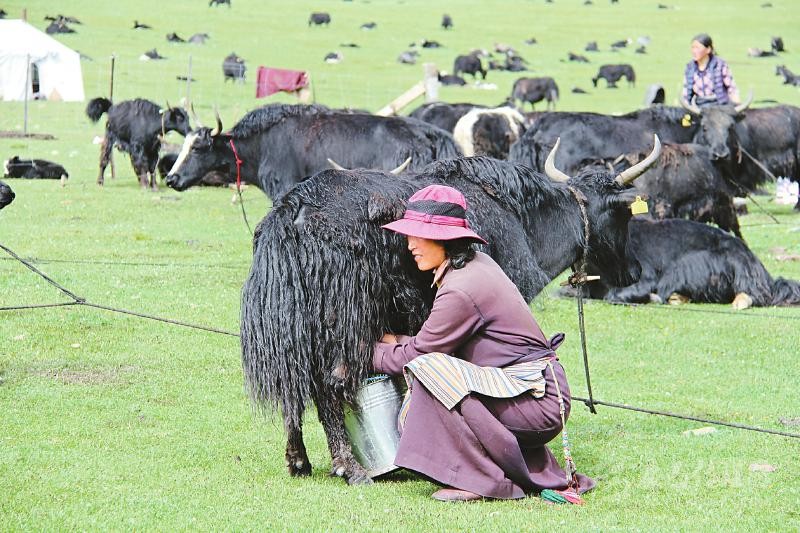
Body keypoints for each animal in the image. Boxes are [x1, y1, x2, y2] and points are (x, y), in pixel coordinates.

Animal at [240, 138, 660, 485]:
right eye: (625, 216)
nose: (635, 271)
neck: (520, 219)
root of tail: (292, 210)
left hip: (296, 322)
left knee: (295, 380)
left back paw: (298, 460)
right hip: (342, 320)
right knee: (331, 383)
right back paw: (352, 469)